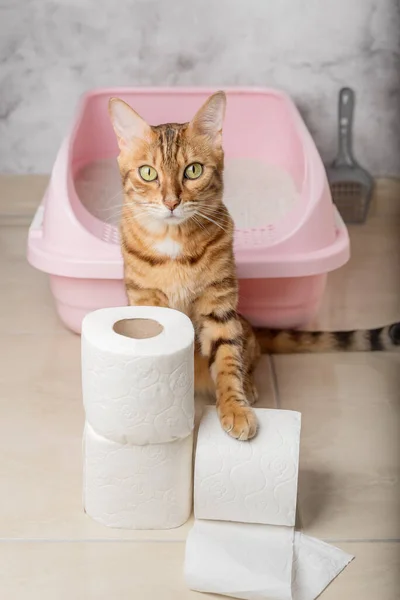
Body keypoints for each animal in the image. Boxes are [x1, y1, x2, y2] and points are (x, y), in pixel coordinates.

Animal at [108, 92, 398, 440]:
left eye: (193, 170)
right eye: (148, 173)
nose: (171, 202)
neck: (173, 241)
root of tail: (253, 325)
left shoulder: (219, 304)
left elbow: (226, 360)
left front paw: (235, 407)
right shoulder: (146, 302)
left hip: (240, 326)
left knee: (247, 355)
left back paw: (248, 385)